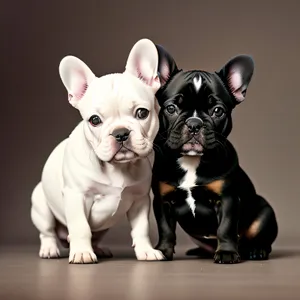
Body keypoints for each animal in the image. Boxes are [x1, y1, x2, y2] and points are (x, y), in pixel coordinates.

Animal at [31, 38, 165, 264]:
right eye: (95, 120)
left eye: (142, 113)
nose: (120, 133)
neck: (118, 168)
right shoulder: (77, 196)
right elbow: (81, 227)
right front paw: (82, 253)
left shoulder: (140, 200)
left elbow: (141, 228)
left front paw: (146, 251)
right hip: (41, 205)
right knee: (46, 232)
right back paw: (50, 249)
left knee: (95, 235)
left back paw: (98, 248)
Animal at [152, 45, 278, 264]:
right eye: (171, 108)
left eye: (218, 111)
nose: (194, 123)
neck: (191, 161)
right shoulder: (161, 200)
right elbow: (165, 228)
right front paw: (162, 251)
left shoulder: (227, 199)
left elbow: (226, 227)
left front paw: (227, 252)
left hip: (265, 213)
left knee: (260, 239)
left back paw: (256, 250)